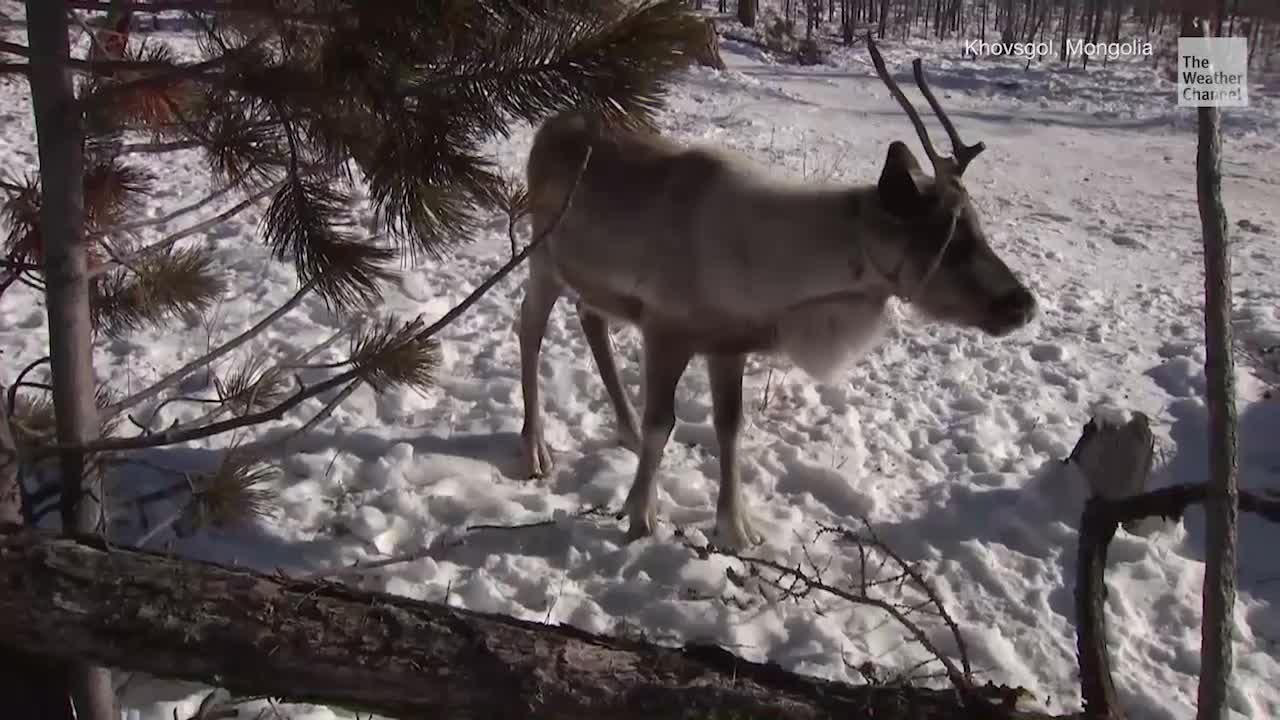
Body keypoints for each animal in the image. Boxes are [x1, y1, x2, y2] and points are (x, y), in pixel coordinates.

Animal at [515, 34, 1038, 550]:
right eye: (955, 241)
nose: (1024, 304)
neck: (780, 279)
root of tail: (546, 128)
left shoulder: (728, 346)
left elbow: (730, 428)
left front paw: (736, 529)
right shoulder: (666, 329)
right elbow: (661, 424)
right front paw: (640, 516)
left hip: (591, 279)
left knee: (589, 315)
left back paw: (621, 428)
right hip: (544, 257)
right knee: (530, 327)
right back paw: (536, 449)